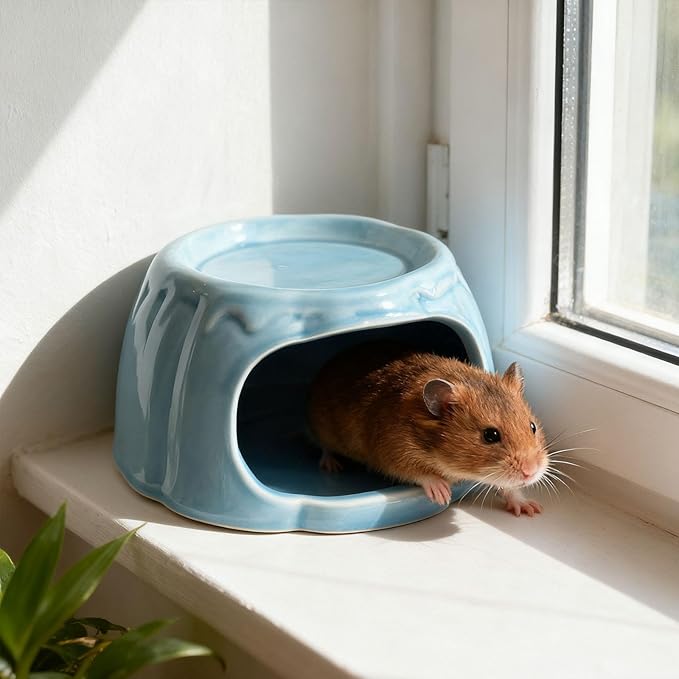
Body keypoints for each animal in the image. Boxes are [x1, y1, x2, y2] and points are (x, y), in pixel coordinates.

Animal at [308, 342, 548, 516]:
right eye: (490, 435)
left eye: (532, 426)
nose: (532, 472)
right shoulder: (393, 453)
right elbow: (418, 473)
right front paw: (442, 495)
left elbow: (508, 487)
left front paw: (531, 509)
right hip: (321, 429)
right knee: (324, 447)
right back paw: (331, 466)